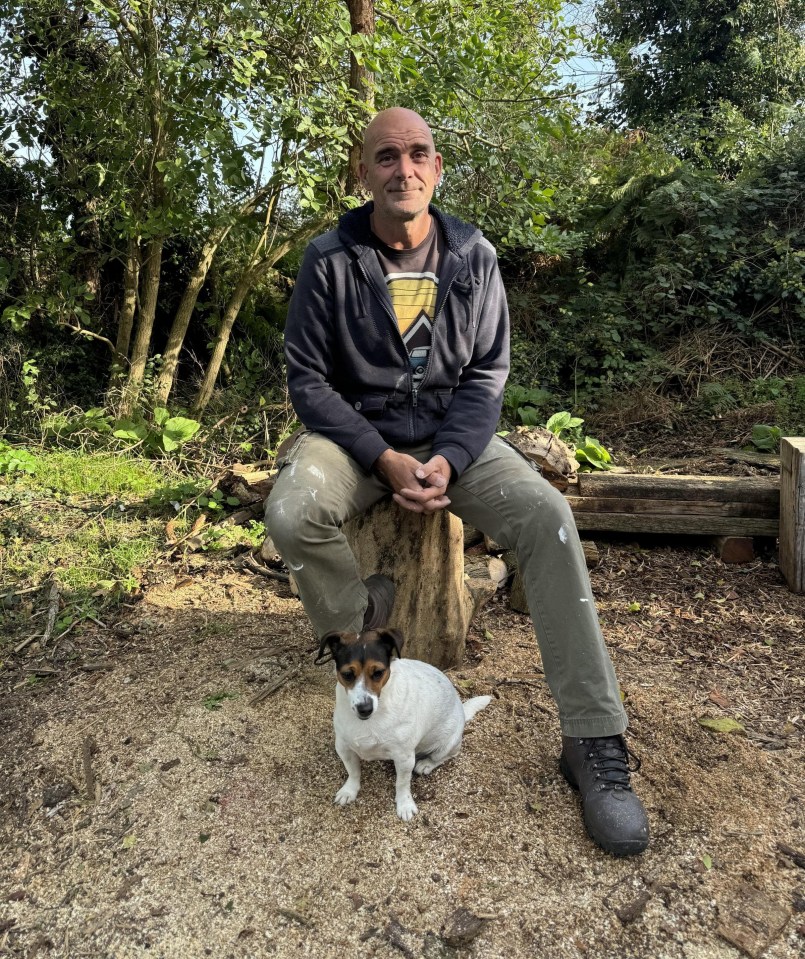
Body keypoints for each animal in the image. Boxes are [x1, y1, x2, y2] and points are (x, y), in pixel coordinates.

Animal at [318, 628, 494, 820]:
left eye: (378, 672)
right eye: (347, 675)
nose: (365, 709)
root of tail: (461, 710)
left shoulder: (404, 758)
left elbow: (402, 784)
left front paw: (405, 805)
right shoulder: (344, 748)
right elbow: (353, 772)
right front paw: (349, 790)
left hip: (448, 744)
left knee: (444, 756)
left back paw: (427, 764)